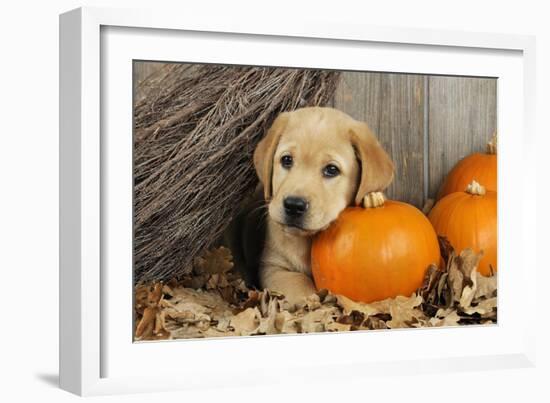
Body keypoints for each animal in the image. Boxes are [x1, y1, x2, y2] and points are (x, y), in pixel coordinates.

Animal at [254, 105, 396, 304]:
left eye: (331, 169)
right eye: (286, 160)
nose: (294, 205)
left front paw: (371, 197)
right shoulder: (272, 265)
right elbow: (298, 281)